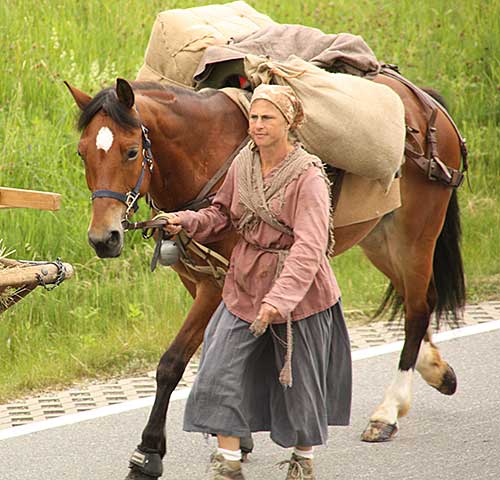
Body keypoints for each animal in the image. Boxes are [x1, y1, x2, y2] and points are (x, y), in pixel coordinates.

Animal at [65, 73, 464, 478]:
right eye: (82, 153)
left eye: (131, 151)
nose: (103, 238)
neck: (204, 153)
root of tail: (425, 102)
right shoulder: (198, 281)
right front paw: (236, 438)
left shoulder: (218, 285)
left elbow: (172, 364)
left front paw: (148, 454)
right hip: (378, 238)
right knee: (419, 300)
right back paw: (435, 371)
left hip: (413, 236)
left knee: (417, 308)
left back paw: (388, 412)